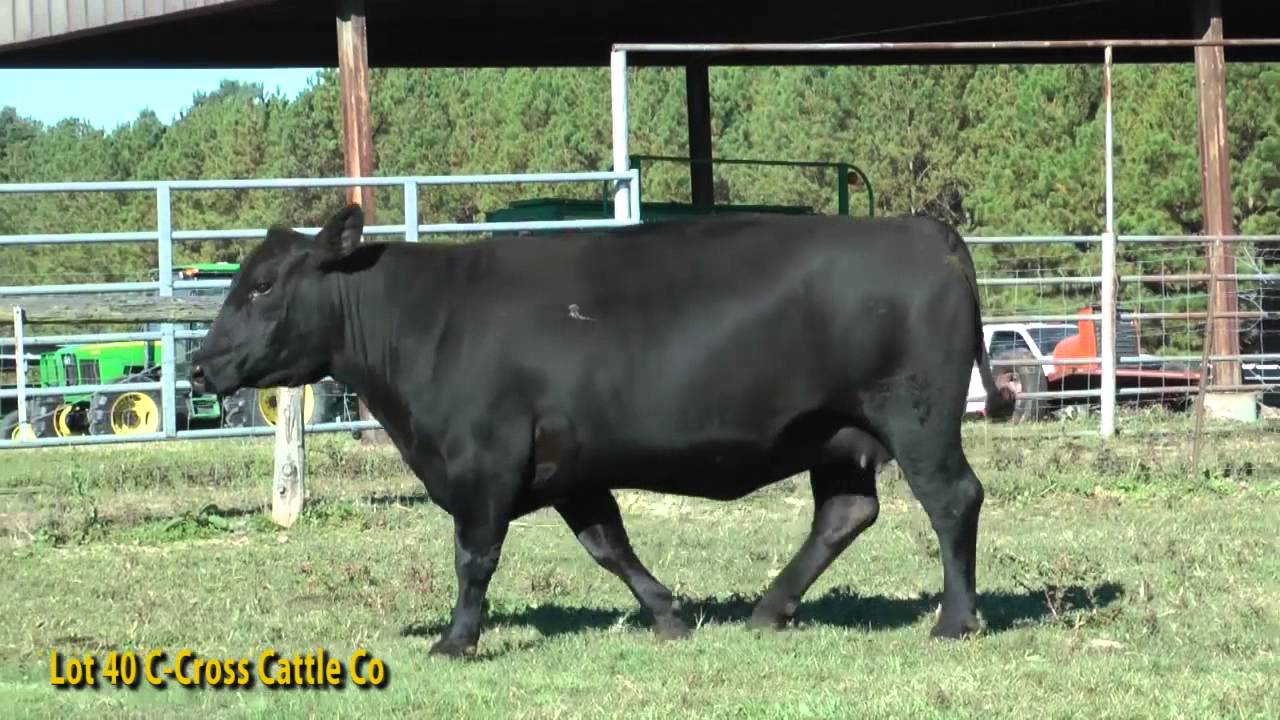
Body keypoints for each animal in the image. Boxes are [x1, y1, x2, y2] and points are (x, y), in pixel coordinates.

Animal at [189, 204, 1015, 658]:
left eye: (261, 286)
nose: (199, 364)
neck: (426, 320)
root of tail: (924, 231)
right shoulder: (570, 470)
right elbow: (608, 545)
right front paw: (670, 616)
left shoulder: (485, 460)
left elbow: (474, 557)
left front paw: (456, 640)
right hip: (837, 436)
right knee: (845, 513)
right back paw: (769, 610)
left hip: (916, 418)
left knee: (952, 500)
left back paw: (955, 620)